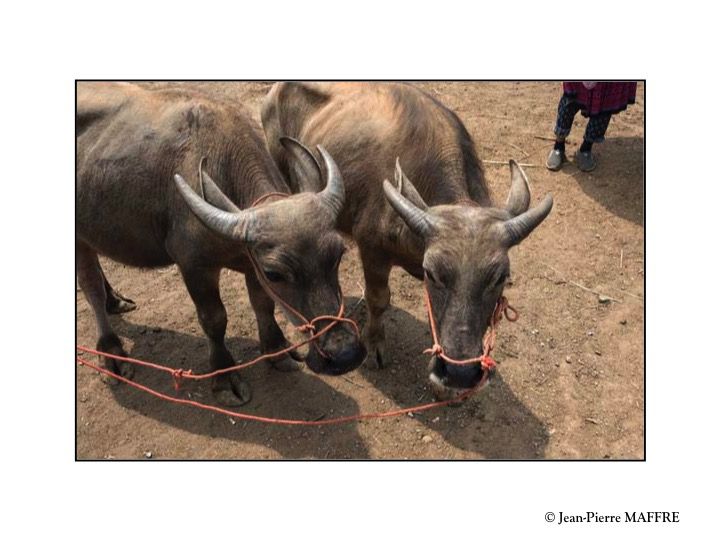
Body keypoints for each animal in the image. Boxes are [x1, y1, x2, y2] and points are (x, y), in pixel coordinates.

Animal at [77, 82, 366, 404]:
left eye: (338, 255)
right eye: (275, 274)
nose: (344, 355)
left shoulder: (251, 261)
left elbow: (263, 304)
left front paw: (277, 350)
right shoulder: (194, 266)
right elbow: (214, 320)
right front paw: (224, 375)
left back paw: (115, 300)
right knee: (90, 286)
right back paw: (111, 352)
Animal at [262, 81, 556, 400]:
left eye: (500, 277)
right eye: (434, 274)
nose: (461, 374)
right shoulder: (372, 250)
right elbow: (379, 299)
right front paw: (375, 346)